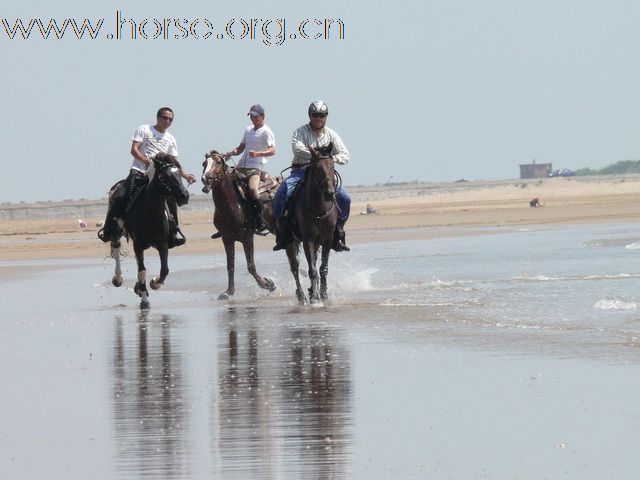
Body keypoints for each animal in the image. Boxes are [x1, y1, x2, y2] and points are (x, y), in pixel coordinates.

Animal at [201, 150, 278, 300]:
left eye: (218, 162)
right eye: (204, 164)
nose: (206, 178)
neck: (231, 204)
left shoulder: (247, 237)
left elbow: (251, 266)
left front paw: (268, 284)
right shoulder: (227, 238)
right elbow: (230, 265)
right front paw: (228, 292)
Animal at [286, 142, 340, 304]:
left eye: (332, 165)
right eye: (316, 167)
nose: (330, 193)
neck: (317, 209)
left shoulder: (328, 239)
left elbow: (323, 268)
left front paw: (323, 295)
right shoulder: (307, 240)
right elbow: (312, 270)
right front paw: (315, 298)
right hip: (290, 242)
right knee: (295, 267)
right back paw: (302, 295)